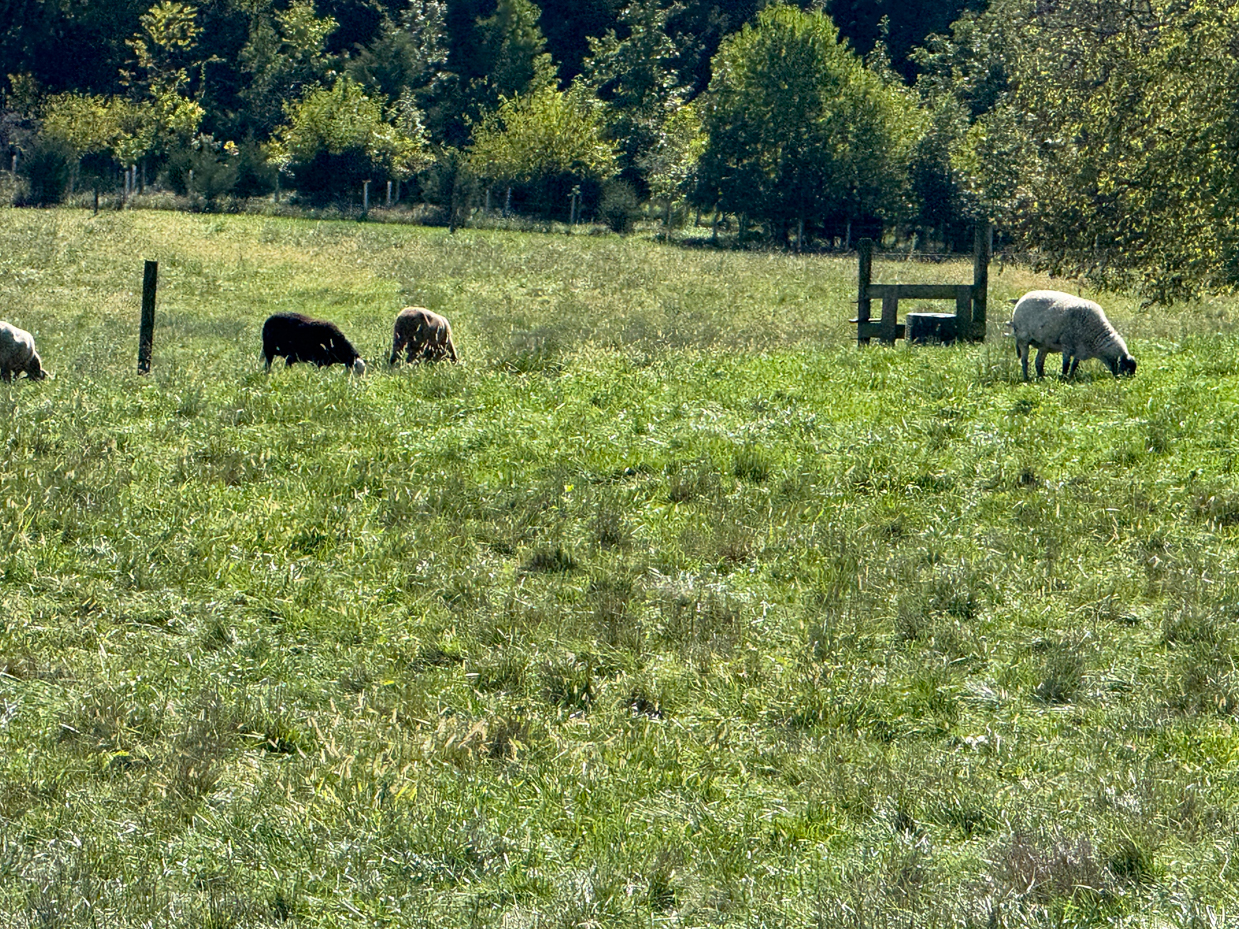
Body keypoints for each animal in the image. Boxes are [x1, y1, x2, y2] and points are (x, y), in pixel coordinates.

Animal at [1006, 289, 1134, 379]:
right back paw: (1026, 378)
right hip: (1023, 338)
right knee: (1024, 361)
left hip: (1044, 345)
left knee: (1038, 362)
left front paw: (1071, 377)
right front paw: (1064, 378)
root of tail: (1022, 298)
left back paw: (1042, 378)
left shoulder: (1080, 350)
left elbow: (1074, 365)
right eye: (1126, 369)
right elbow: (1066, 364)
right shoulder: (1067, 345)